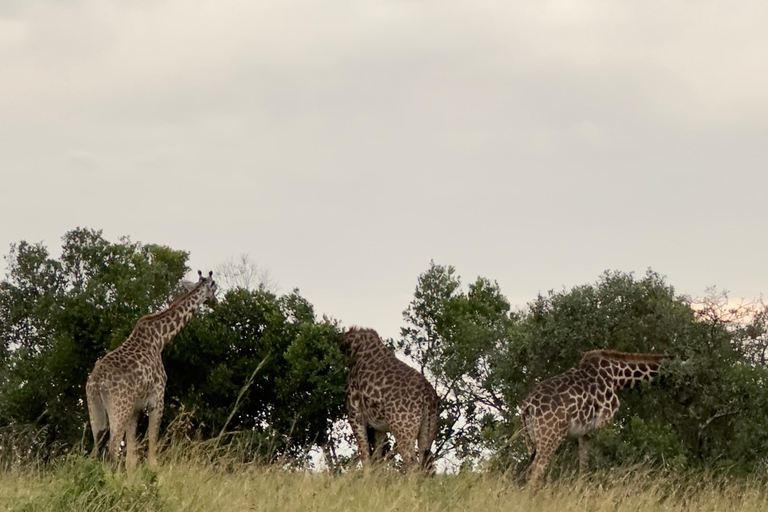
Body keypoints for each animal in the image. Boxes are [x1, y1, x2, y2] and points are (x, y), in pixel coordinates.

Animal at [85, 272, 216, 468]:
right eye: (214, 287)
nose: (215, 301)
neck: (160, 339)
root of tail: (96, 383)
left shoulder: (135, 410)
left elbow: (131, 459)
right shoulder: (157, 400)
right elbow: (152, 452)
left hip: (95, 410)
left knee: (95, 452)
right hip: (119, 409)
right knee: (111, 453)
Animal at [342, 328, 438, 472]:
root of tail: (428, 396)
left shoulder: (355, 415)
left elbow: (365, 456)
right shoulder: (378, 427)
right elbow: (377, 456)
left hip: (403, 429)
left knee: (412, 464)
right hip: (427, 431)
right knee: (426, 464)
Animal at [520, 348, 668, 488]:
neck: (617, 376)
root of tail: (527, 407)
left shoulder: (585, 433)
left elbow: (583, 470)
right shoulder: (604, 423)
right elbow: (600, 462)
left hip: (530, 440)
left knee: (529, 473)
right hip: (551, 436)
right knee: (535, 472)